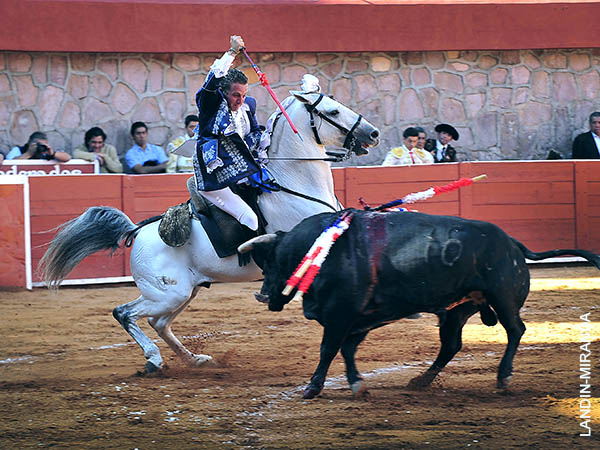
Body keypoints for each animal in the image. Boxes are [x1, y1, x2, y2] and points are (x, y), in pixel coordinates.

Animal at [41, 90, 380, 372]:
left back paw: (194, 359)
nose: (373, 132)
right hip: (167, 293)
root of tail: (137, 232)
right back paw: (154, 360)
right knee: (125, 313)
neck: (295, 185)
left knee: (158, 323)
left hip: (183, 292)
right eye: (333, 111)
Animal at [239, 209, 600, 400]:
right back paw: (422, 381)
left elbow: (329, 349)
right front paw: (356, 383)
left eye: (270, 260)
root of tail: (512, 243)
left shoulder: (340, 314)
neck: (322, 248)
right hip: (456, 310)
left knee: (516, 330)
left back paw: (503, 377)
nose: (263, 294)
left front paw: (313, 387)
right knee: (451, 344)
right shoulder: (359, 318)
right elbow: (347, 349)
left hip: (503, 299)